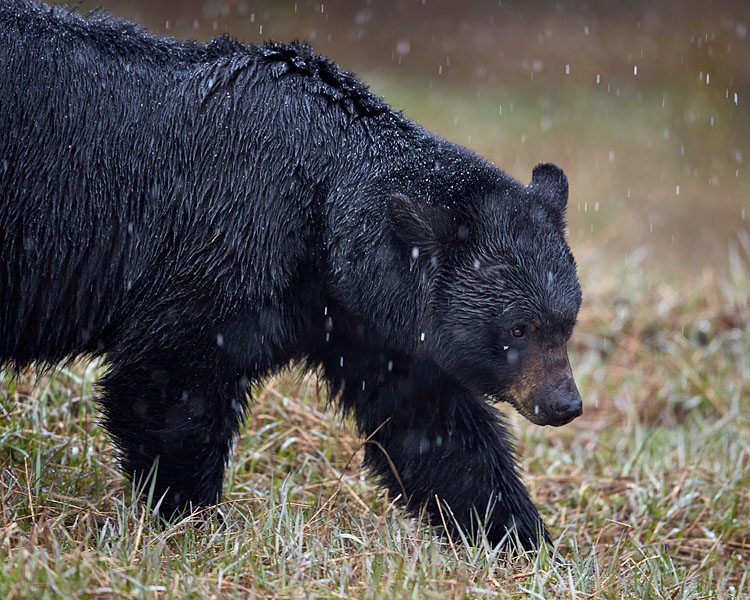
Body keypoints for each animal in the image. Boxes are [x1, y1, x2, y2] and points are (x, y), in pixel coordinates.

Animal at [0, 1, 584, 552]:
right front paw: (193, 519)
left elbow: (433, 428)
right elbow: (169, 380)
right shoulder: (231, 238)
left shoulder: (363, 317)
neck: (322, 209)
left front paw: (526, 543)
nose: (565, 404)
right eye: (517, 328)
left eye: (567, 322)